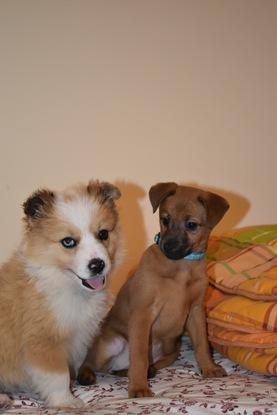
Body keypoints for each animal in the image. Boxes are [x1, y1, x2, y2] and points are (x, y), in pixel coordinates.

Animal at [0, 181, 122, 410]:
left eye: (103, 234)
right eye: (68, 242)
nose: (97, 265)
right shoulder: (43, 340)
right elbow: (58, 377)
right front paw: (67, 401)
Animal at [78, 184, 229, 398]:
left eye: (191, 225)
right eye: (165, 220)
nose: (168, 246)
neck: (181, 269)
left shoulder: (196, 311)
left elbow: (202, 344)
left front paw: (209, 368)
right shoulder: (143, 313)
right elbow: (139, 355)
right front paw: (139, 388)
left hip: (172, 350)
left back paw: (143, 371)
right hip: (111, 343)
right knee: (89, 362)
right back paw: (87, 375)